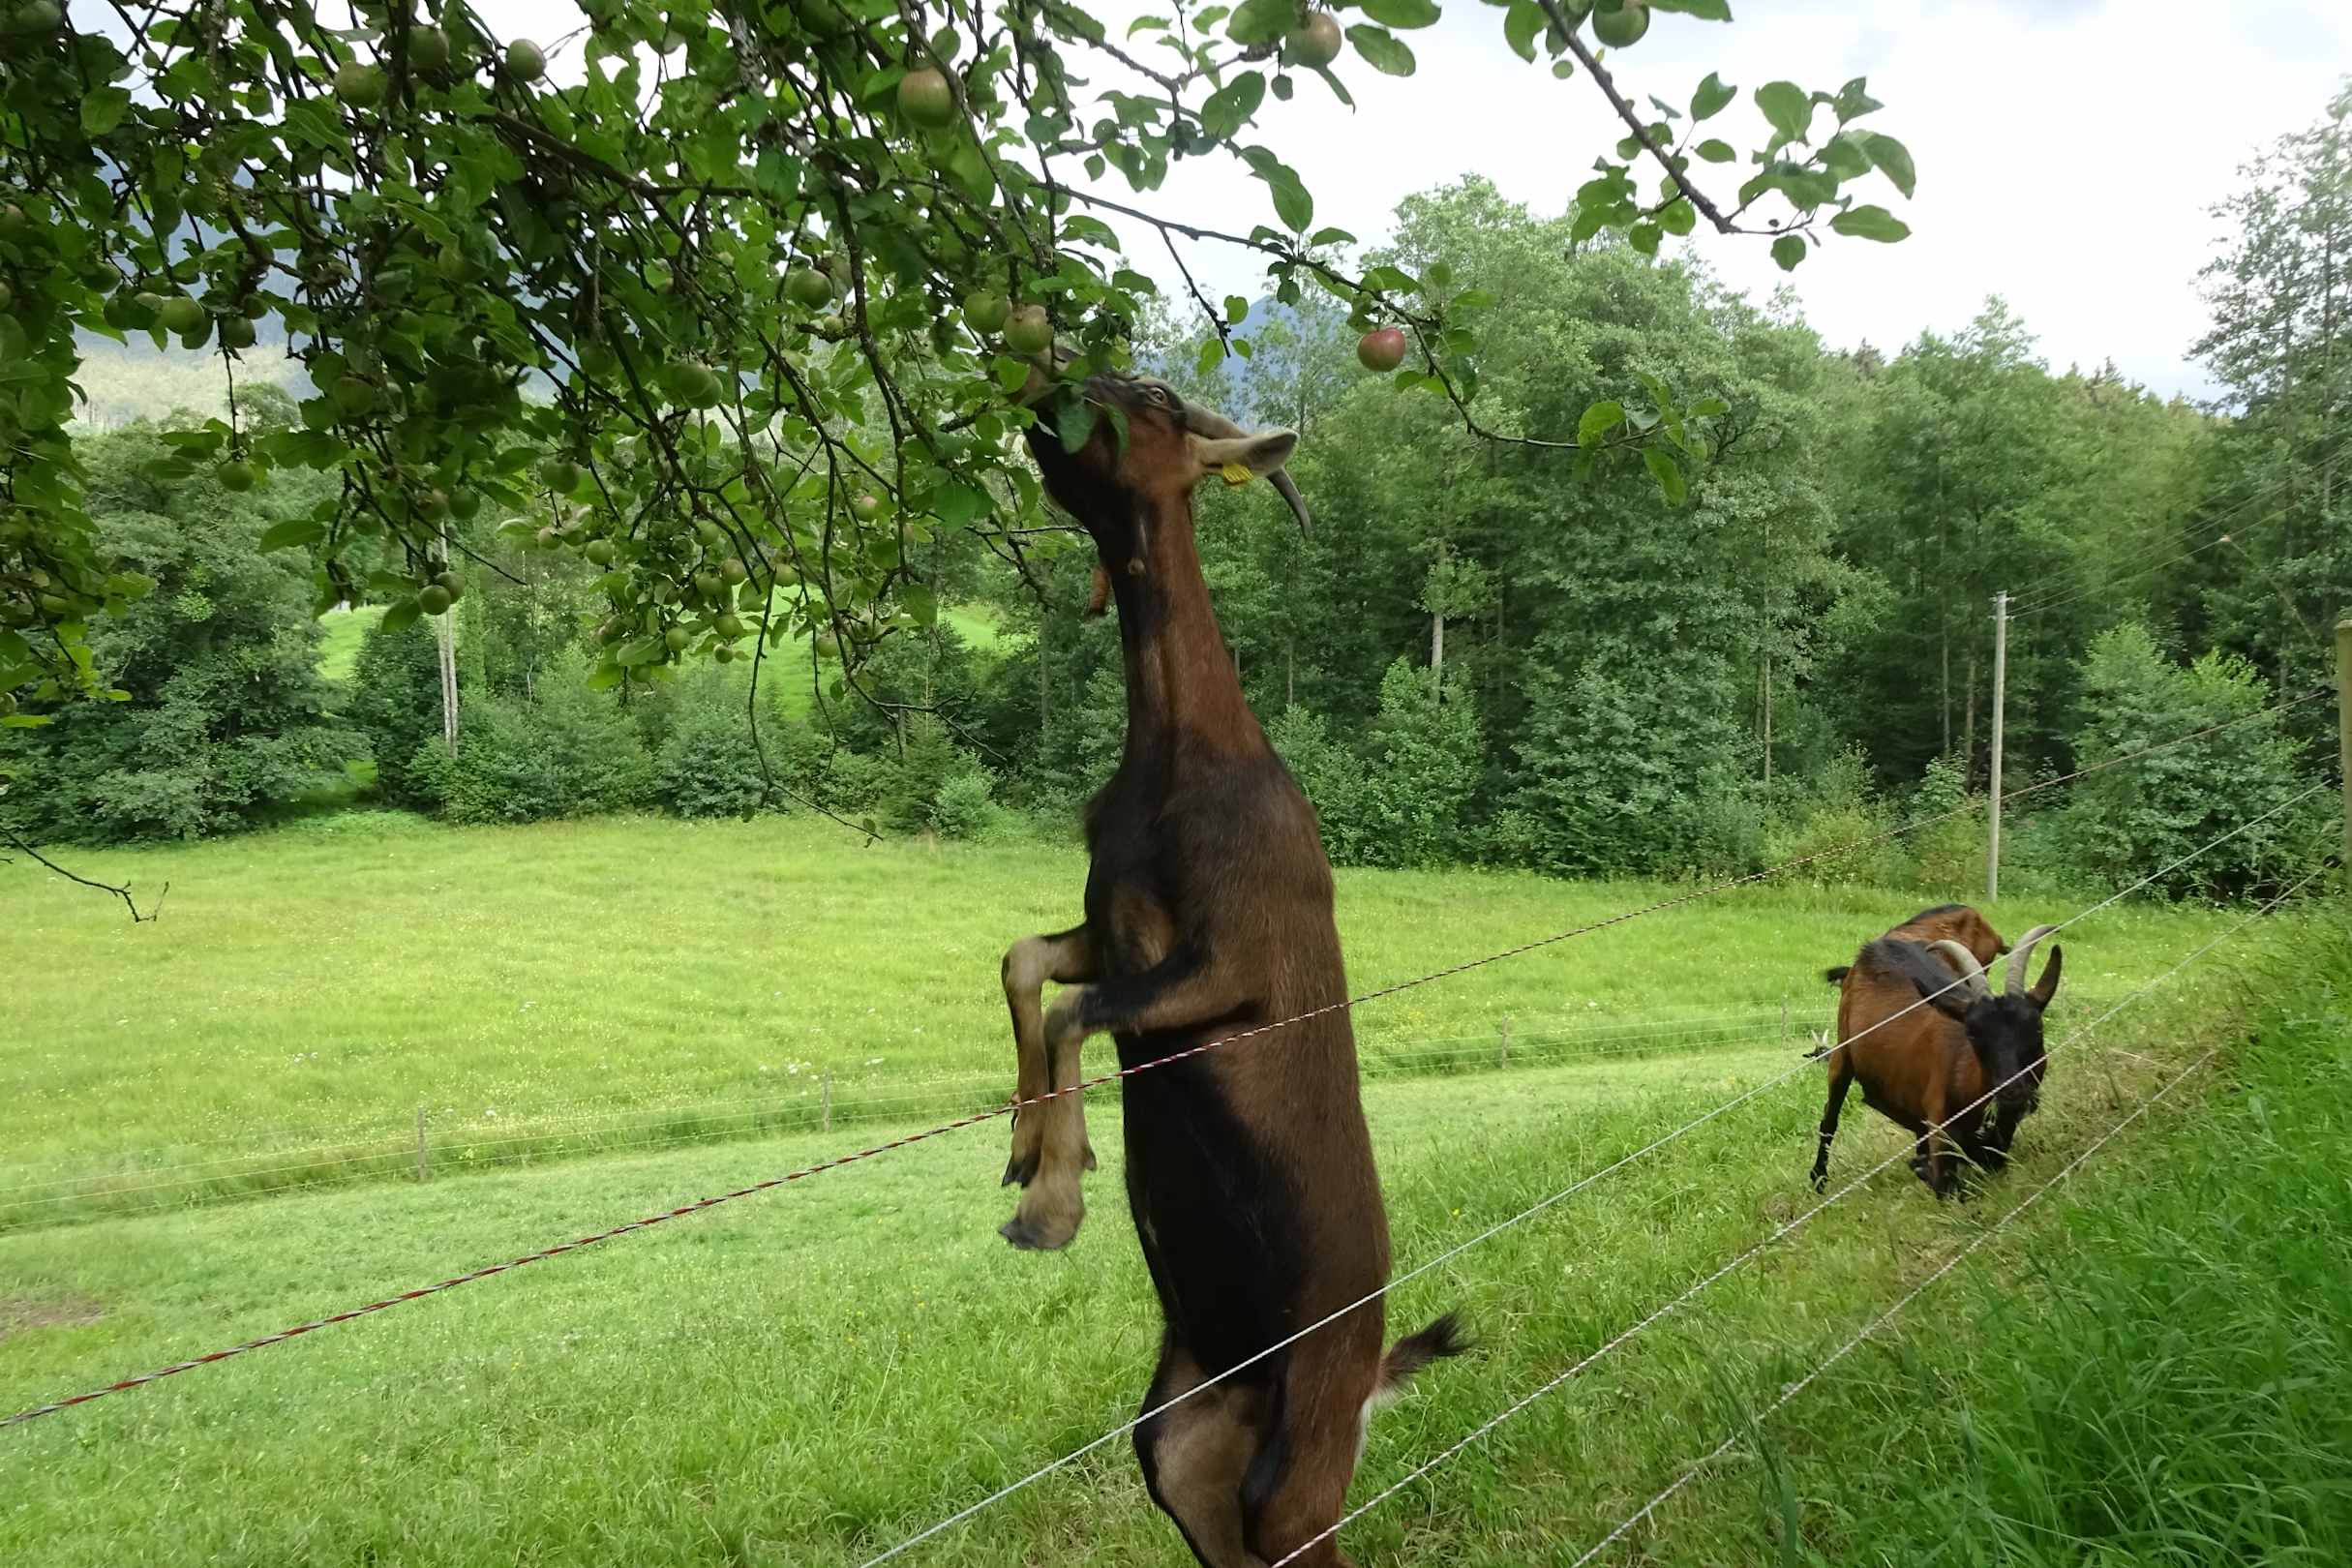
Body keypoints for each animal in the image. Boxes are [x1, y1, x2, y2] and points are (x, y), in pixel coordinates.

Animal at [995, 364, 1463, 1567]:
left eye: (1154, 400)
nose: (1046, 391)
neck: (1185, 756)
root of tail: (1371, 1366)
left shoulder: (1228, 971)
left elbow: (1076, 1013)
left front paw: (1053, 1204)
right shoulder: (1105, 926)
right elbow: (1028, 965)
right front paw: (1024, 1152)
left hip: (1300, 1474)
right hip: (1186, 1446)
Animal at [1810, 925, 2062, 1197]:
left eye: (2037, 1028)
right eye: (1973, 1034)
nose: (2012, 1091)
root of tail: (1873, 948)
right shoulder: (1942, 1131)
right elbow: (1947, 1188)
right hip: (1841, 1056)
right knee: (1829, 1119)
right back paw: (1818, 1179)